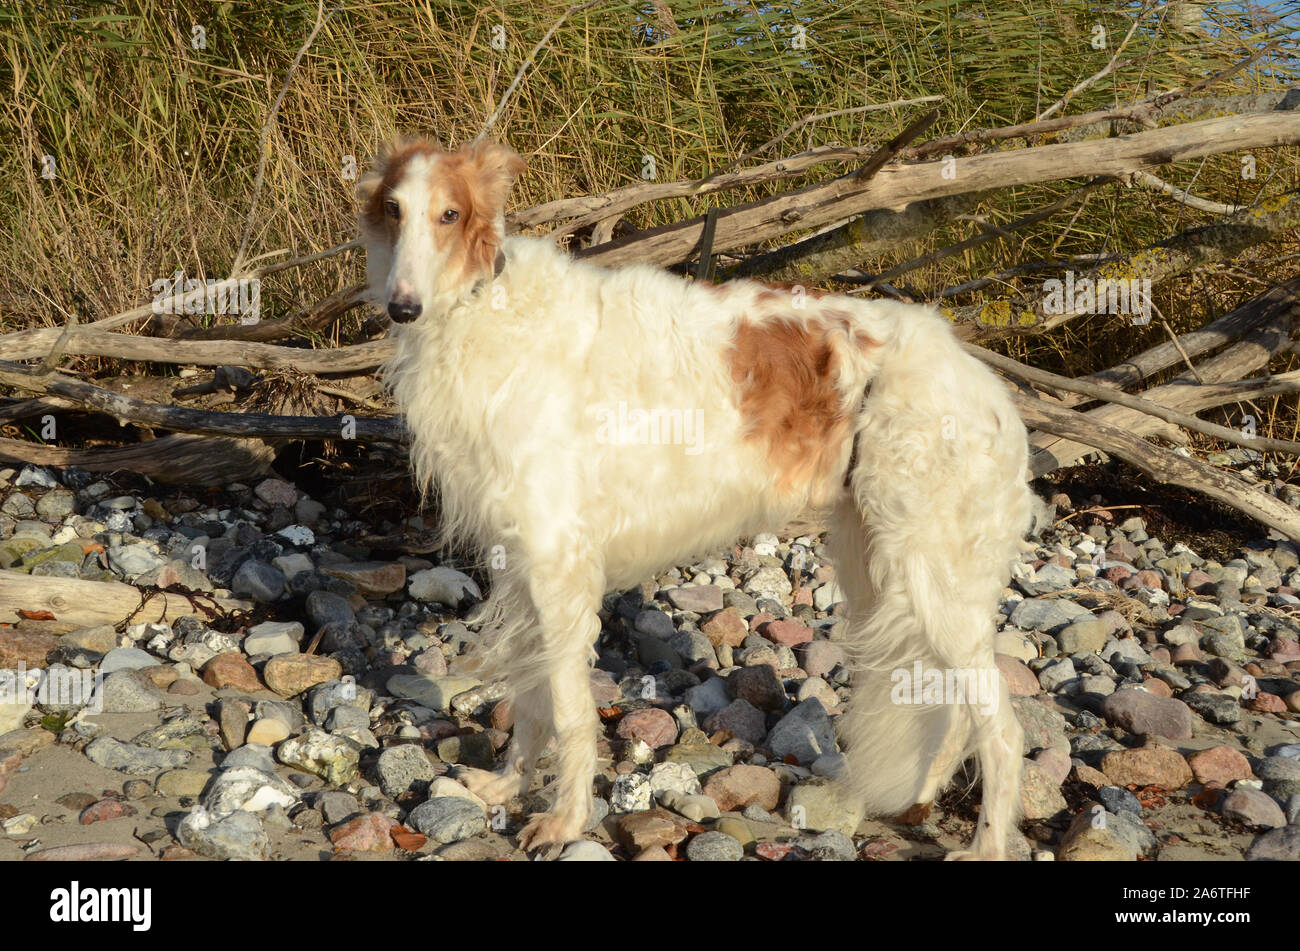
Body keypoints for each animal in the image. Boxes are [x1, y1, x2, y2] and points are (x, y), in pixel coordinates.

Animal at [358, 137, 1034, 857]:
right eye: (393, 209)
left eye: (450, 214)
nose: (402, 307)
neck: (486, 307)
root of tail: (985, 385)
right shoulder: (521, 561)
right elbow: (534, 698)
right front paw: (509, 785)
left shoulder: (559, 560)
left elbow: (568, 708)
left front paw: (565, 820)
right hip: (881, 564)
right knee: (958, 710)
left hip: (928, 573)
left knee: (1002, 728)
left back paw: (987, 844)